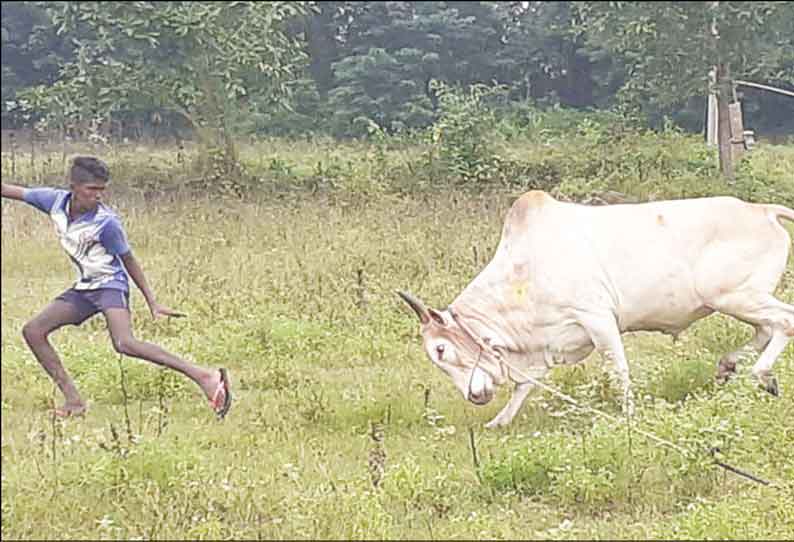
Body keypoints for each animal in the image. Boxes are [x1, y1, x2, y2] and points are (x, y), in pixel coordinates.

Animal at [400, 191, 792, 430]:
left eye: (440, 349)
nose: (474, 396)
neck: (525, 271)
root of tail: (761, 210)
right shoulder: (548, 346)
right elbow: (524, 386)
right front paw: (500, 422)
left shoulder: (598, 319)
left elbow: (619, 370)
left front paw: (630, 416)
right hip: (740, 299)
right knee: (765, 329)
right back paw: (729, 366)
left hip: (735, 295)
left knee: (783, 321)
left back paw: (761, 374)